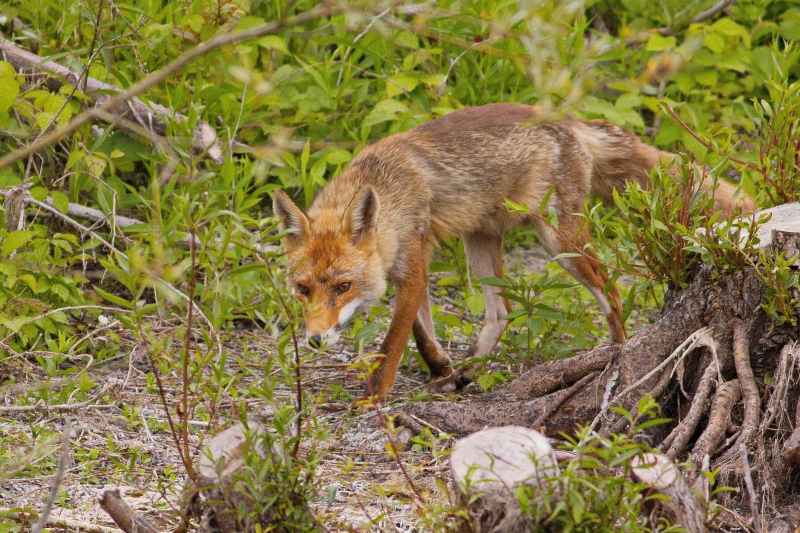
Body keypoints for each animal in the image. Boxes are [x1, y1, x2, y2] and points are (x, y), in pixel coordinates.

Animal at [272, 102, 752, 400]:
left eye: (343, 286)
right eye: (303, 289)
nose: (314, 340)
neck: (390, 192)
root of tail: (570, 120)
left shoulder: (413, 263)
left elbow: (392, 345)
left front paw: (372, 400)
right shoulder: (409, 267)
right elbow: (422, 333)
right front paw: (442, 369)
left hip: (559, 241)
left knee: (612, 291)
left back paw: (618, 355)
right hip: (480, 242)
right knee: (501, 312)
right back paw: (472, 371)